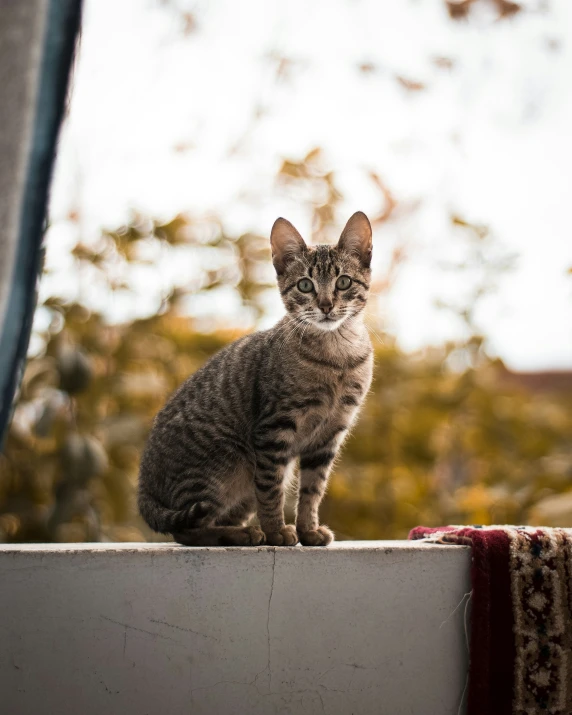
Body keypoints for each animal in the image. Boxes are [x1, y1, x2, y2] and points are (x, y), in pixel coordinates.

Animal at [136, 213, 374, 548]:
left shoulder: (329, 435)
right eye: (305, 285)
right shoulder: (274, 429)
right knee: (187, 530)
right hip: (222, 466)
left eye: (343, 282)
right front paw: (276, 531)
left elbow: (312, 490)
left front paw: (308, 529)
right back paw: (244, 533)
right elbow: (271, 488)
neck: (336, 356)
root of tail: (144, 488)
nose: (326, 306)